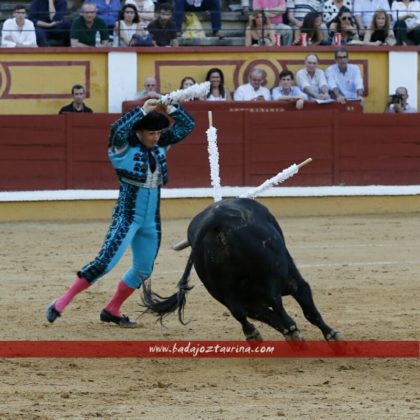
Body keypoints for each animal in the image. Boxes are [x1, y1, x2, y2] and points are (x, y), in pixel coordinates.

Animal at [141, 198, 342, 342]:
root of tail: (217, 220)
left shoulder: (247, 300)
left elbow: (259, 313)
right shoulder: (293, 279)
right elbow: (307, 305)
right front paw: (332, 335)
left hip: (219, 288)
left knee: (238, 310)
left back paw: (255, 334)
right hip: (277, 271)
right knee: (275, 299)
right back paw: (292, 330)